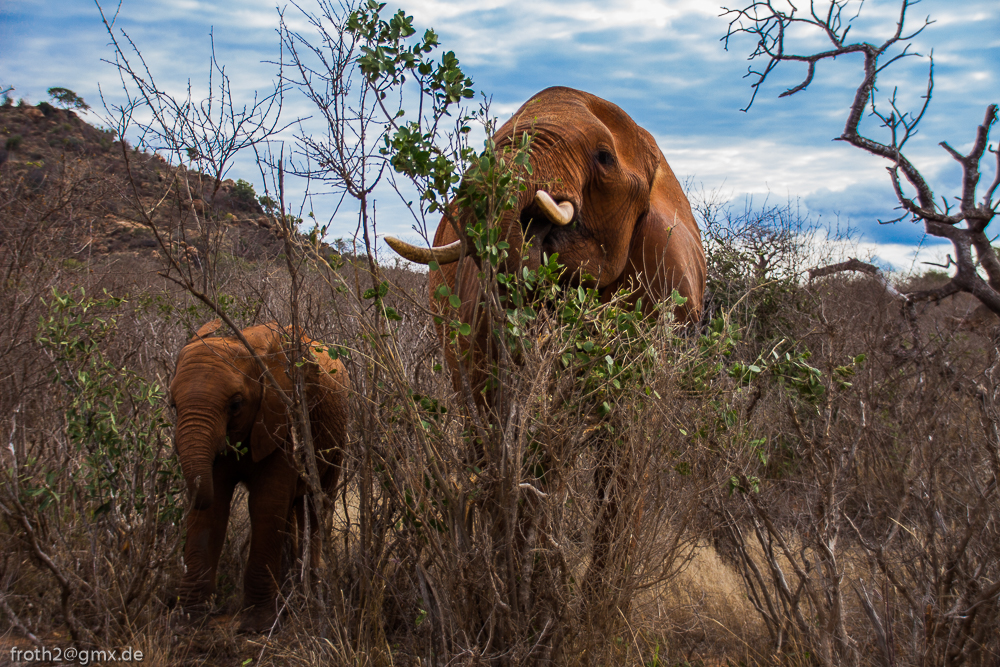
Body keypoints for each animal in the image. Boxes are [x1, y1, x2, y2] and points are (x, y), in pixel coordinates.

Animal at [168, 320, 348, 636]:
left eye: (236, 404)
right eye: (173, 406)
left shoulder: (285, 419)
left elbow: (266, 504)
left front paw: (256, 627)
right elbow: (214, 508)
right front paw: (188, 622)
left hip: (334, 440)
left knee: (315, 506)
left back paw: (308, 593)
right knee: (294, 510)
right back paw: (291, 588)